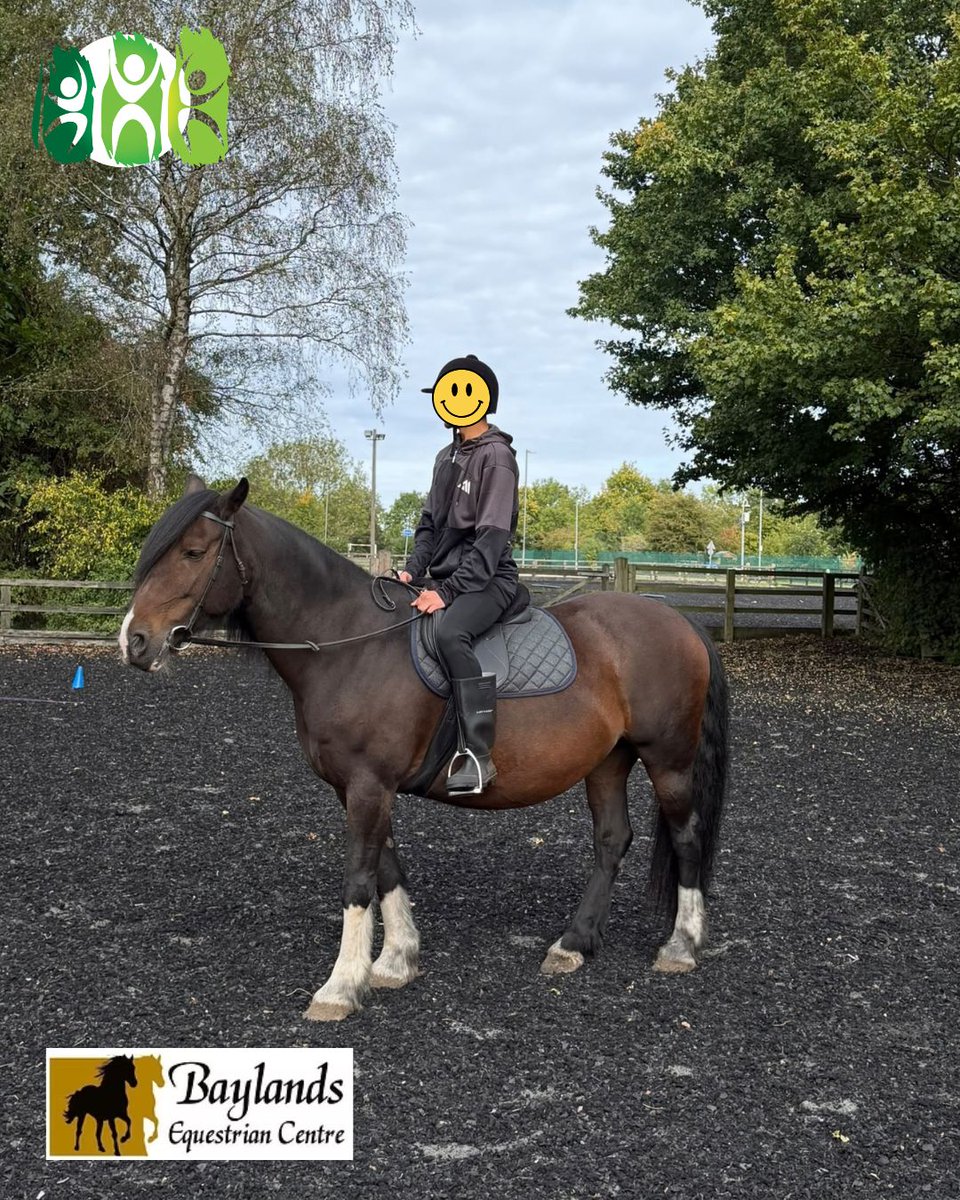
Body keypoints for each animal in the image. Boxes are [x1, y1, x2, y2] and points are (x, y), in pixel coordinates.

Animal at [121, 476, 728, 1022]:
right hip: (607, 761)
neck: (348, 644)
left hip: (668, 759)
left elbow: (359, 879)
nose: (135, 641)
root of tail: (679, 620)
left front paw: (341, 988)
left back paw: (680, 946)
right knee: (611, 840)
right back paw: (574, 944)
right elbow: (388, 869)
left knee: (686, 834)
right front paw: (396, 961)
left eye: (194, 552)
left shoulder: (369, 785)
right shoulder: (362, 787)